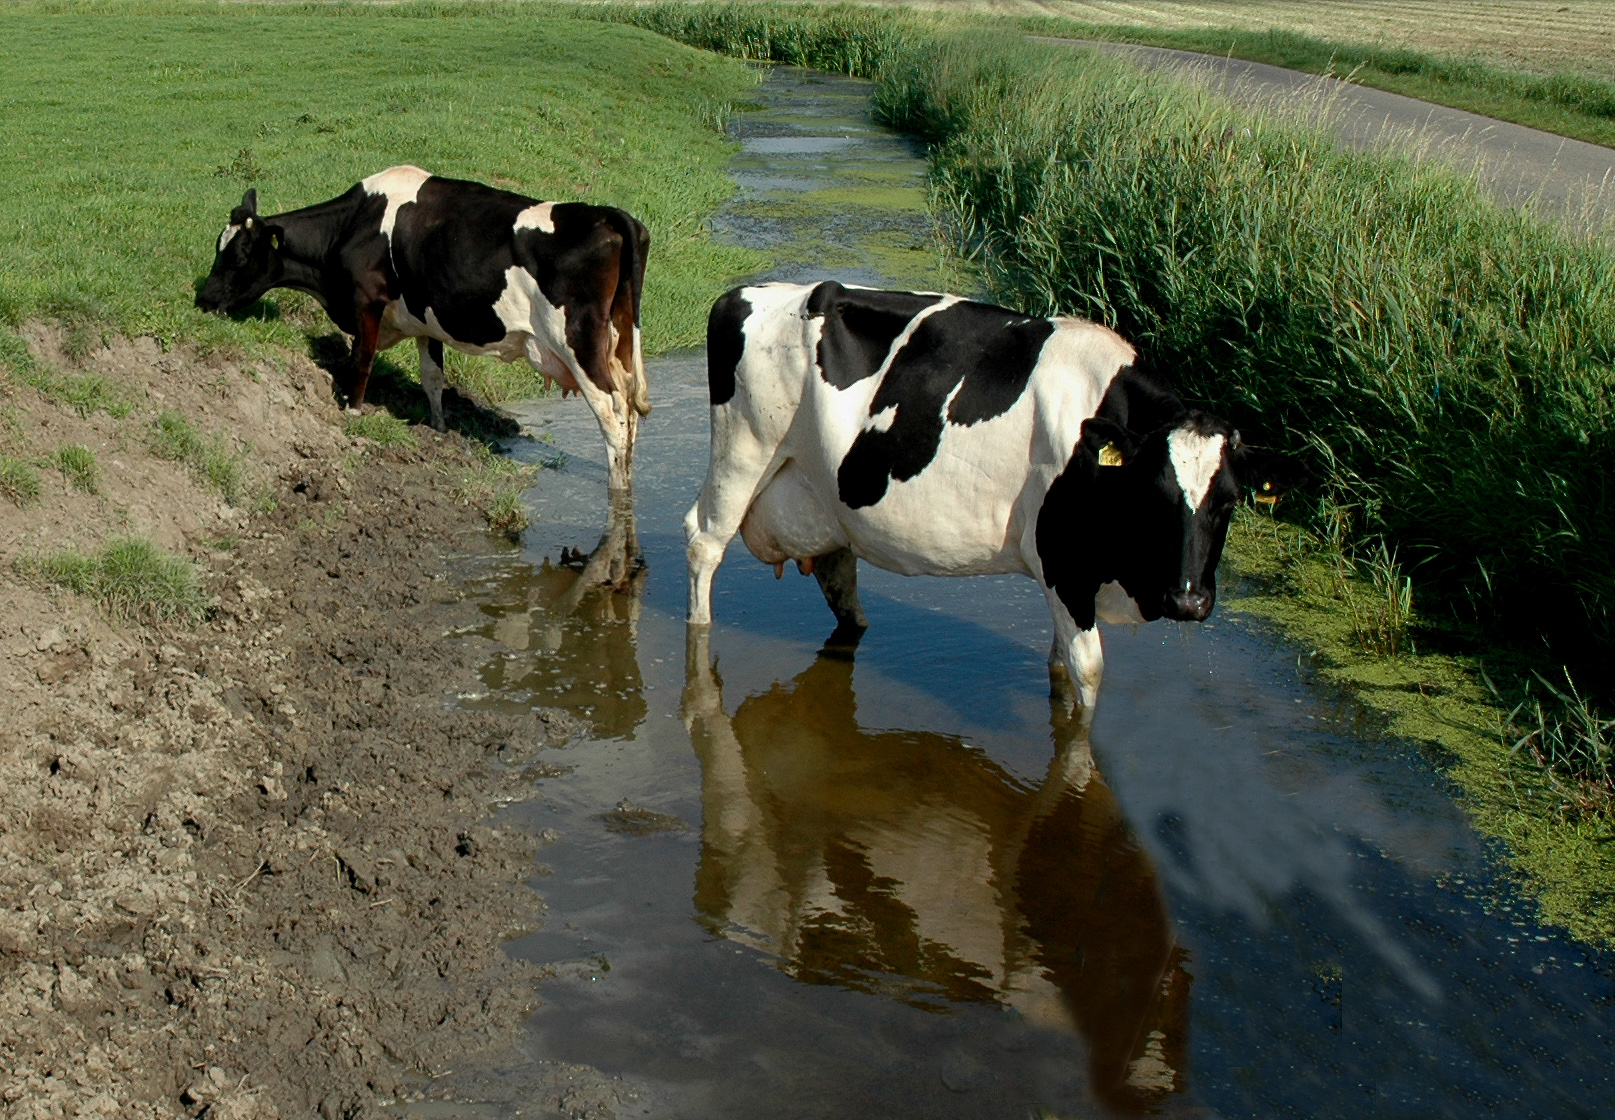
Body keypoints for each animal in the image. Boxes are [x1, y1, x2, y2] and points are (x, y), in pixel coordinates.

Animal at [195, 167, 650, 491]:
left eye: (238, 255)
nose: (203, 301)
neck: (352, 227)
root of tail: (606, 215)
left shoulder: (367, 300)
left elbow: (361, 359)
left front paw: (353, 412)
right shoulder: (425, 321)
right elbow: (432, 377)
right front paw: (439, 427)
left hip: (576, 342)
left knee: (611, 414)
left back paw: (617, 487)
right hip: (620, 342)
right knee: (630, 410)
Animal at [684, 281, 1293, 718]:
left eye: (1228, 503)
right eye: (1154, 496)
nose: (1189, 601)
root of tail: (755, 292)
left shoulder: (1069, 576)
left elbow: (1058, 667)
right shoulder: (1063, 564)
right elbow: (1088, 675)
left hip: (825, 496)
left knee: (839, 576)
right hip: (742, 453)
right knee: (702, 543)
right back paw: (699, 646)